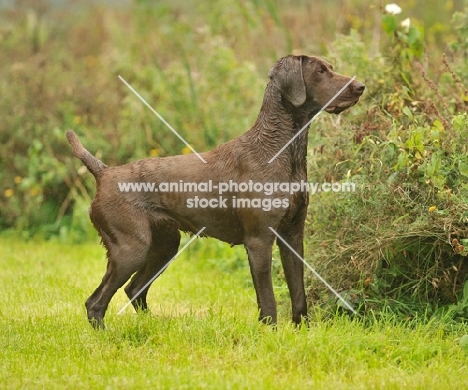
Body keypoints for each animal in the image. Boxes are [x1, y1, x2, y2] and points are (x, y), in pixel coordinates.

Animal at [66, 55, 366, 330]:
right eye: (320, 71)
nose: (361, 86)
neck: (280, 151)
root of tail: (104, 172)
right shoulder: (259, 239)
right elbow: (268, 300)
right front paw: (270, 333)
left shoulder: (292, 234)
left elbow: (299, 293)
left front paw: (303, 331)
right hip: (131, 248)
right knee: (96, 301)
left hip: (164, 245)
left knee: (134, 290)